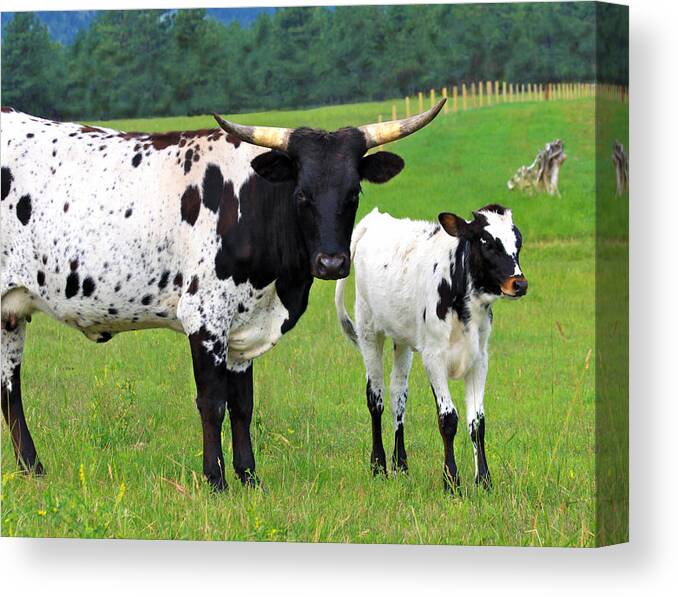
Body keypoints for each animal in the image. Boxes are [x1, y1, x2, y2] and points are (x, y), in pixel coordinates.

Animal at [336, 203, 532, 492]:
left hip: (402, 340)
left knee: (397, 396)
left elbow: (478, 422)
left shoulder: (479, 359)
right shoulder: (433, 357)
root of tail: (375, 219)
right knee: (376, 398)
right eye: (486, 241)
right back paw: (379, 466)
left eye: (518, 242)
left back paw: (401, 465)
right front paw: (451, 481)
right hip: (369, 330)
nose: (519, 284)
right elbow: (448, 419)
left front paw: (484, 481)